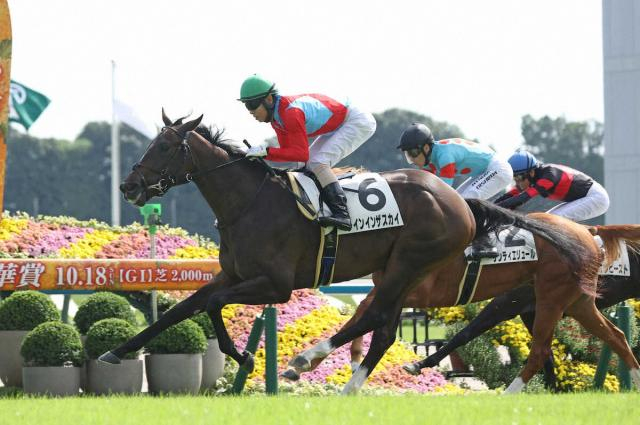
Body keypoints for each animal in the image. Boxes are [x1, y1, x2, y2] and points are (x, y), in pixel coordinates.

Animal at [100, 111, 598, 394]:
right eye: (151, 142)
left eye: (166, 145)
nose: (128, 186)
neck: (249, 203)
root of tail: (462, 205)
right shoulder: (233, 275)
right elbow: (180, 310)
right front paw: (116, 352)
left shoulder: (276, 286)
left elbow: (215, 306)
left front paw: (243, 358)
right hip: (405, 273)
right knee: (382, 326)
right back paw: (334, 376)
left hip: (409, 264)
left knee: (378, 323)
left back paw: (319, 367)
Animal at [284, 208, 640, 393]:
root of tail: (588, 233)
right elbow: (362, 315)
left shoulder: (412, 288)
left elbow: (365, 313)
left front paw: (327, 359)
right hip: (576, 302)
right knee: (616, 336)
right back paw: (635, 378)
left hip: (550, 297)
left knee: (540, 351)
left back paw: (508, 394)